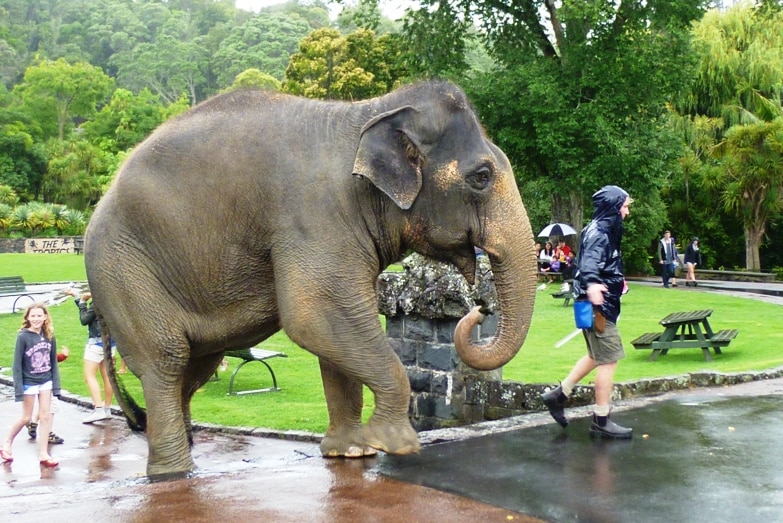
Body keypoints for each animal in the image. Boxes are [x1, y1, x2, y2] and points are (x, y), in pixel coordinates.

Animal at [84, 80, 540, 476]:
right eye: (481, 177)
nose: (478, 308)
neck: (369, 112)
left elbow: (337, 330)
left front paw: (350, 452)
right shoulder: (315, 219)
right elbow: (315, 316)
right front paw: (393, 443)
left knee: (195, 364)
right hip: (123, 268)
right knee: (166, 358)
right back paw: (174, 473)